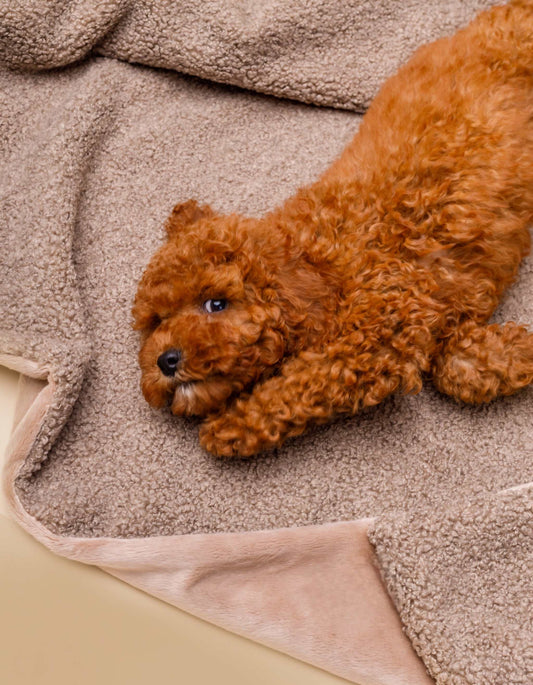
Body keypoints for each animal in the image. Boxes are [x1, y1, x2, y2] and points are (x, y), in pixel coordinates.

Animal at [132, 4, 532, 460]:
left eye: (216, 304)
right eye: (157, 319)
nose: (165, 360)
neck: (320, 253)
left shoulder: (368, 341)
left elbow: (299, 386)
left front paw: (230, 426)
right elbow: (458, 365)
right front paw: (513, 354)